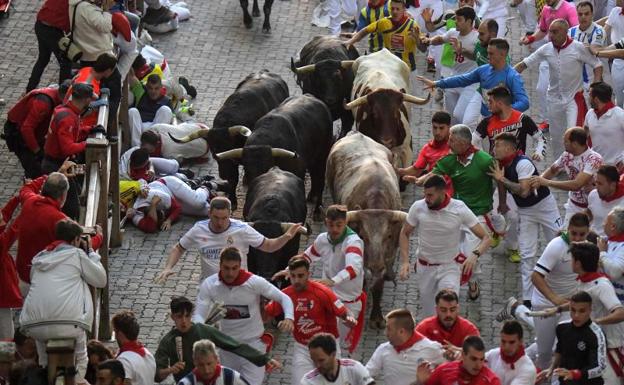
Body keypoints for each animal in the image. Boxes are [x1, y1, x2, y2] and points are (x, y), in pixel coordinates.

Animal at [326, 132, 410, 328]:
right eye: (362, 236)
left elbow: (378, 285)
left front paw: (377, 317)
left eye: (389, 235)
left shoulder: (389, 255)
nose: (376, 267)